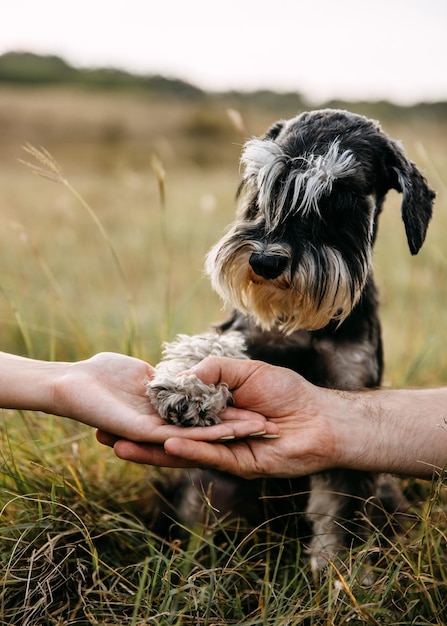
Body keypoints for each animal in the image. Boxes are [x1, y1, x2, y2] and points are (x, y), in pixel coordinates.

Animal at [149, 109, 436, 568]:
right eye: (266, 183)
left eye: (340, 197)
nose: (266, 261)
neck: (304, 324)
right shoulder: (245, 333)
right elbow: (212, 346)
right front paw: (189, 386)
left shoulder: (351, 387)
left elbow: (342, 509)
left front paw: (339, 572)